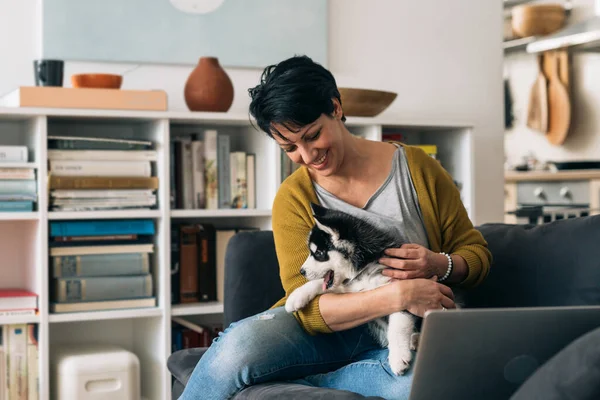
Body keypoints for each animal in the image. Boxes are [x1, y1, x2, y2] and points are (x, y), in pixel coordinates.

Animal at [284, 203, 418, 376]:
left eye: (319, 253)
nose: (301, 271)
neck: (363, 266)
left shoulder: (401, 288)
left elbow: (398, 326)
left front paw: (398, 357)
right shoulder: (351, 288)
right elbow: (320, 283)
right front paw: (296, 296)